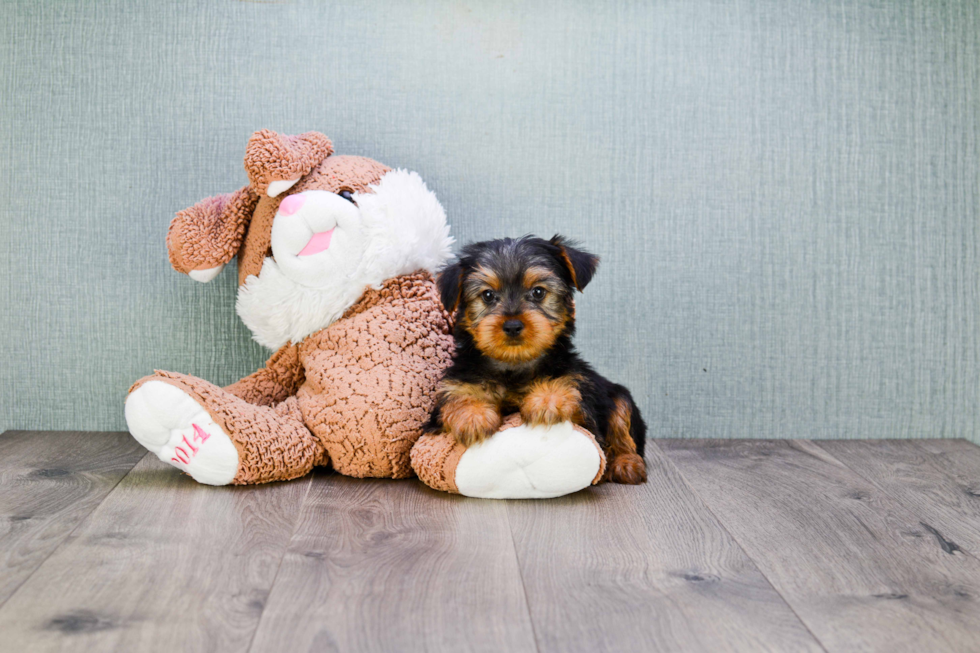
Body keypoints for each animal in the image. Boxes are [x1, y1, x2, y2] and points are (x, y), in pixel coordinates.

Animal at [424, 236, 648, 484]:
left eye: (538, 292)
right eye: (488, 295)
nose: (512, 325)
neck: (514, 365)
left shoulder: (583, 402)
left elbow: (567, 393)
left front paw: (547, 399)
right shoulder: (450, 393)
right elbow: (458, 397)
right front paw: (473, 416)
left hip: (618, 395)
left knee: (623, 425)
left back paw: (627, 464)